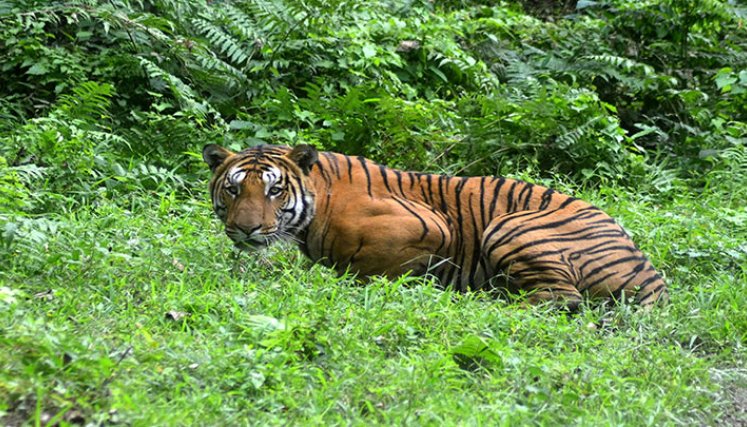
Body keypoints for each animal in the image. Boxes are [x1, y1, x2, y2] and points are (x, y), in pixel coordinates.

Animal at [202, 143, 668, 310]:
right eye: (234, 189)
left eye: (275, 190)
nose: (245, 230)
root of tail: (652, 275)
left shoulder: (431, 226)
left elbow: (371, 268)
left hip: (511, 225)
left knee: (561, 298)